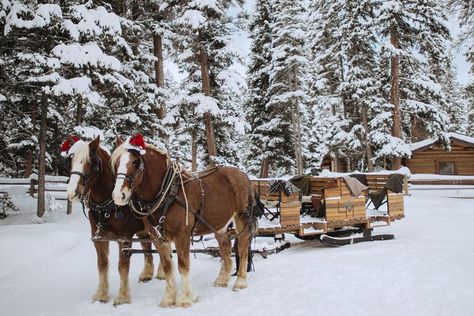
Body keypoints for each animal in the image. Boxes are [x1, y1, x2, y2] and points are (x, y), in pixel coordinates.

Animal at [65, 136, 165, 306]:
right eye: (72, 160)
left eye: (89, 162)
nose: (72, 192)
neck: (106, 204)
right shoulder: (98, 237)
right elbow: (102, 264)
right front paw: (101, 294)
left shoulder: (124, 237)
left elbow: (122, 266)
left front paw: (122, 297)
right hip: (144, 229)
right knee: (147, 246)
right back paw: (147, 273)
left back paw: (162, 272)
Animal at [109, 137, 258, 308]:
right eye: (116, 162)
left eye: (134, 161)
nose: (118, 195)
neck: (168, 193)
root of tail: (243, 175)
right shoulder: (157, 237)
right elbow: (168, 267)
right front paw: (168, 298)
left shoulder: (182, 235)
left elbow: (183, 265)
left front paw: (185, 298)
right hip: (219, 224)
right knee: (225, 248)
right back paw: (222, 280)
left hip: (242, 218)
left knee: (242, 247)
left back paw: (240, 282)